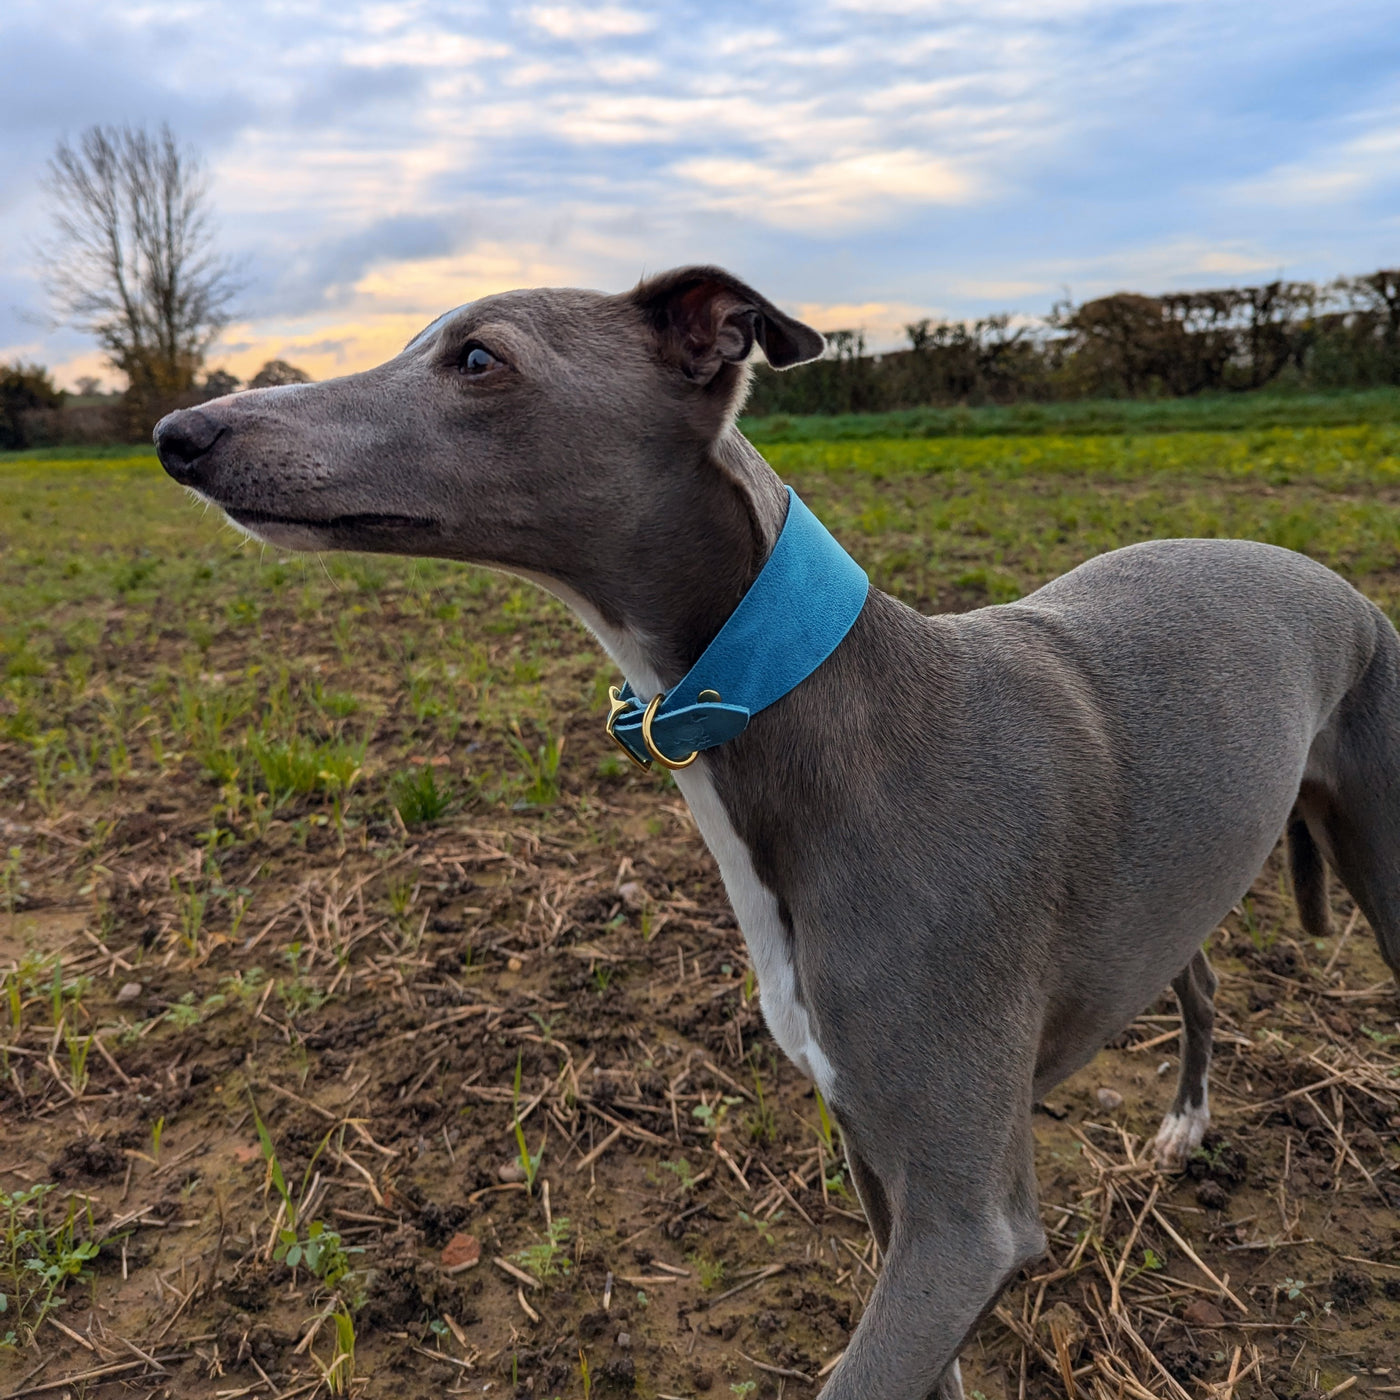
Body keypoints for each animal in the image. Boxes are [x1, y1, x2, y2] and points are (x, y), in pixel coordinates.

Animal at [153, 270, 1400, 1400]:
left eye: (476, 357)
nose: (180, 434)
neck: (830, 727)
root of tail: (1331, 581)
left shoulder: (964, 1223)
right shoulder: (873, 1154)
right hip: (1177, 882)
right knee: (1197, 976)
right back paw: (1183, 1119)